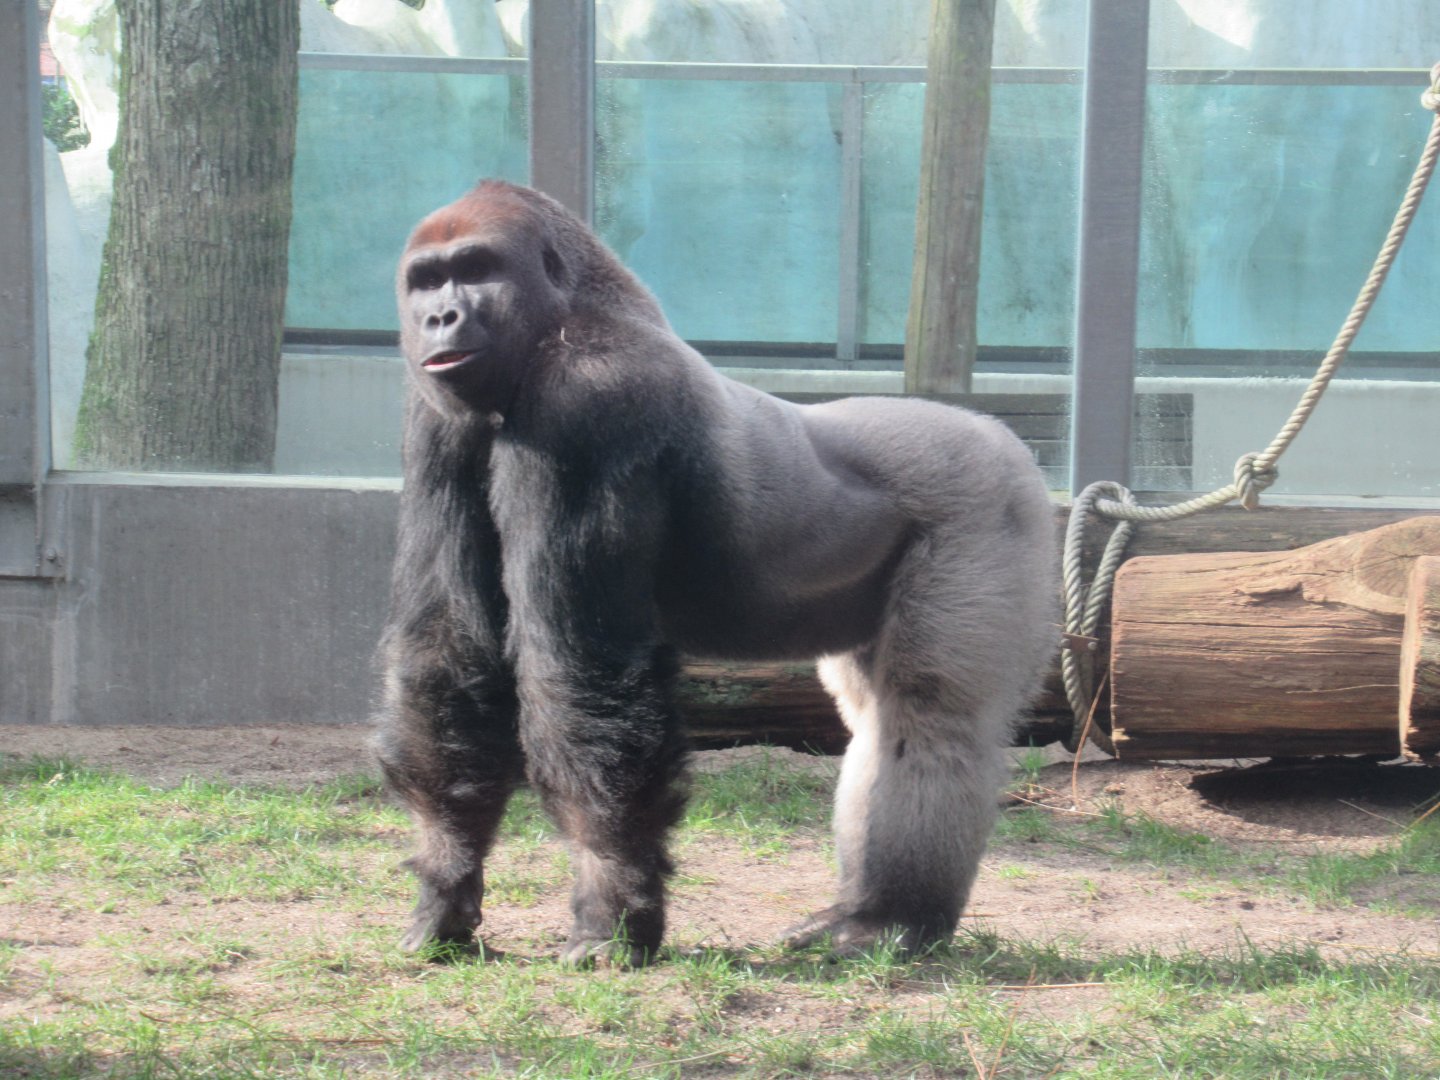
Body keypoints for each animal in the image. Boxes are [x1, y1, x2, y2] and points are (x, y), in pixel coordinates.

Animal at [374, 179, 1057, 966]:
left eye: (477, 269)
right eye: (427, 280)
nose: (440, 317)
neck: (569, 314)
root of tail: (998, 433)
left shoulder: (589, 399)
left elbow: (579, 667)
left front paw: (613, 906)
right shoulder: (433, 418)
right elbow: (450, 653)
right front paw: (446, 881)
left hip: (987, 499)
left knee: (932, 715)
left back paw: (897, 916)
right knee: (875, 716)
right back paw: (865, 908)